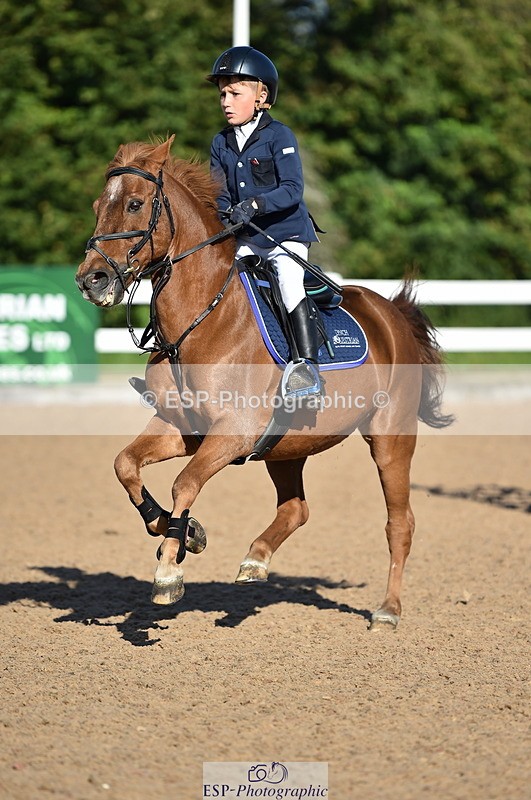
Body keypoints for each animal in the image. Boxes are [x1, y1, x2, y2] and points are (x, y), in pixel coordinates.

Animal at [76, 135, 452, 630]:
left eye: (135, 204)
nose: (91, 280)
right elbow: (125, 465)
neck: (202, 319)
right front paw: (179, 530)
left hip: (391, 437)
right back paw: (254, 560)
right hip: (286, 446)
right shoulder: (184, 428)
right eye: (99, 206)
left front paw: (169, 570)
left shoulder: (232, 432)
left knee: (399, 522)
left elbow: (184, 483)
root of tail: (391, 313)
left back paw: (387, 610)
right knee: (296, 508)